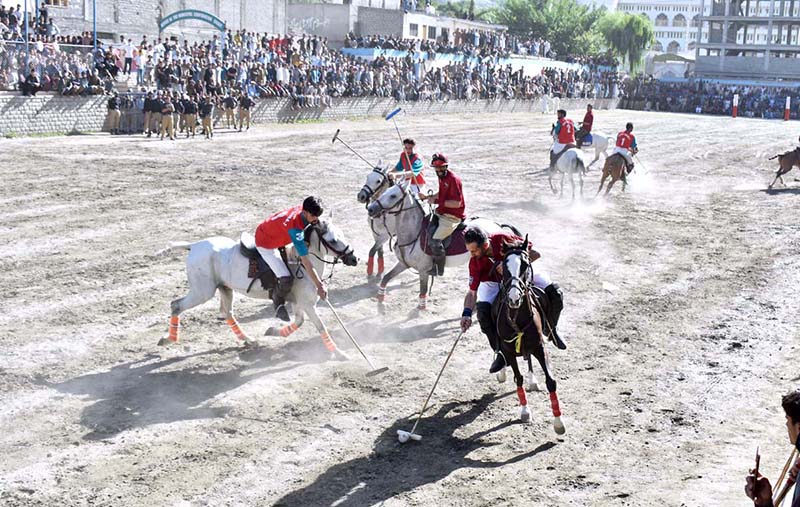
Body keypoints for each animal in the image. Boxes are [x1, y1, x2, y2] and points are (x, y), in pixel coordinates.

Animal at [156, 220, 356, 360]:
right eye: (333, 240)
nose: (354, 259)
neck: (303, 265)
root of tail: (194, 245)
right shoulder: (307, 304)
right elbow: (320, 326)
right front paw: (339, 354)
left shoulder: (299, 302)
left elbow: (299, 322)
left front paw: (273, 331)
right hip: (202, 291)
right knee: (176, 305)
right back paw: (168, 339)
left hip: (224, 288)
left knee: (227, 312)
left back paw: (249, 339)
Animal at [368, 181, 504, 312]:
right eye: (385, 191)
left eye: (393, 196)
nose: (370, 208)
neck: (414, 233)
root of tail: (498, 225)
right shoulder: (403, 264)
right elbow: (386, 277)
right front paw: (380, 299)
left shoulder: (424, 270)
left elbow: (422, 291)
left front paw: (421, 308)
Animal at [494, 240, 564, 434]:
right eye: (504, 266)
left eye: (525, 265)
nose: (514, 298)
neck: (517, 316)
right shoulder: (509, 350)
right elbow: (518, 378)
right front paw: (525, 411)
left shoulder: (539, 347)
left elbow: (551, 381)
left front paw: (558, 422)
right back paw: (500, 369)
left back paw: (533, 380)